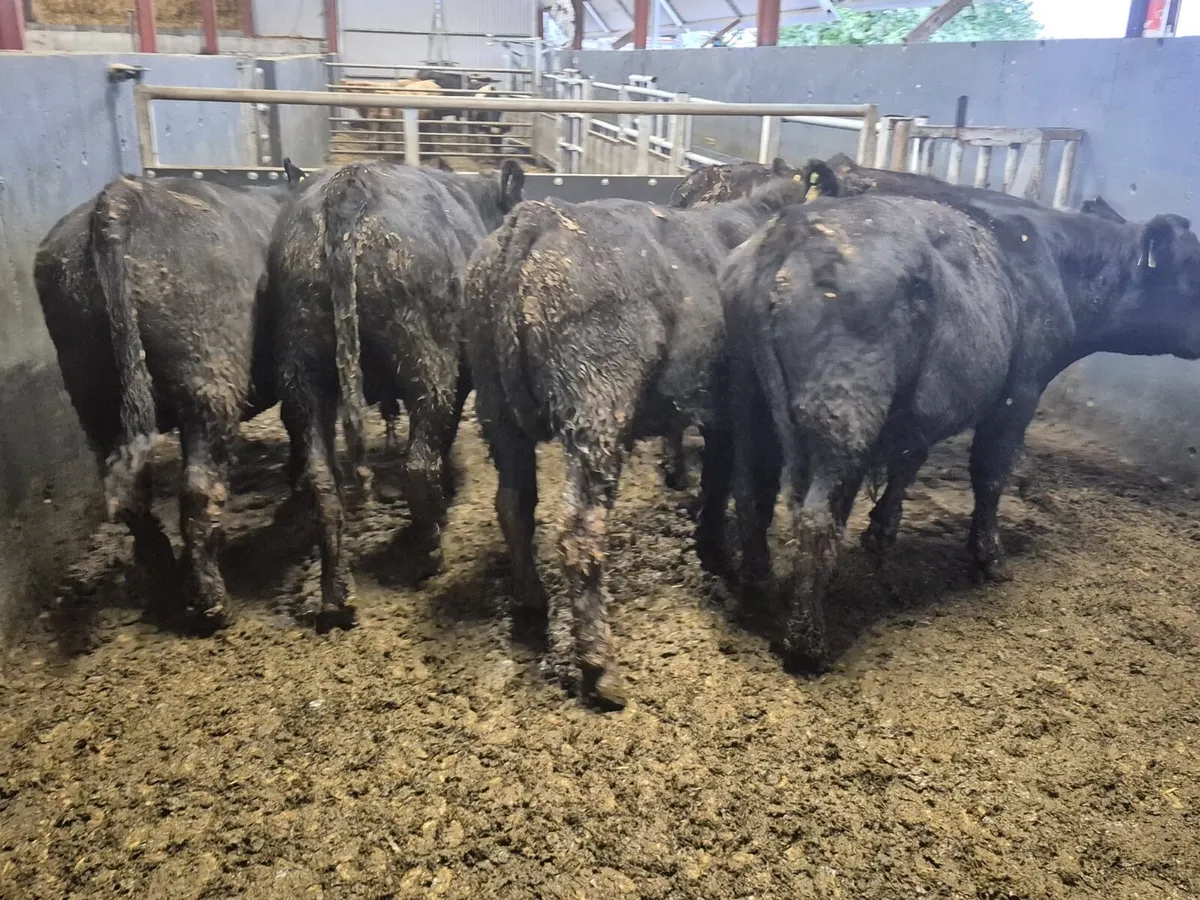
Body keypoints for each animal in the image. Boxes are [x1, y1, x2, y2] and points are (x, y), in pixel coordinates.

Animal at [34, 165, 305, 632]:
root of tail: (120, 199)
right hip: (208, 385)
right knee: (198, 492)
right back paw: (212, 602)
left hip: (93, 399)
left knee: (131, 500)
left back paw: (165, 585)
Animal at [269, 159, 525, 628]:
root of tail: (347, 187)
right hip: (429, 361)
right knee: (419, 464)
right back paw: (430, 548)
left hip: (302, 373)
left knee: (322, 480)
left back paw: (336, 594)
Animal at [463, 175, 817, 710]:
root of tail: (536, 216)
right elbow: (752, 496)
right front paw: (756, 582)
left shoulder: (719, 410)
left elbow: (718, 481)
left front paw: (711, 547)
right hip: (599, 407)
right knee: (579, 533)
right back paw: (600, 668)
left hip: (496, 408)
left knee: (513, 505)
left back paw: (531, 604)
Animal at [717, 191, 1200, 672]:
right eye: (1192, 266)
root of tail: (791, 226)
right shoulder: (1018, 394)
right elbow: (990, 475)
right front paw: (990, 558)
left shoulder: (921, 406)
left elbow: (909, 461)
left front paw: (881, 533)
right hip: (845, 410)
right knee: (817, 516)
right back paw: (809, 643)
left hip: (747, 399)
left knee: (749, 493)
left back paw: (757, 587)